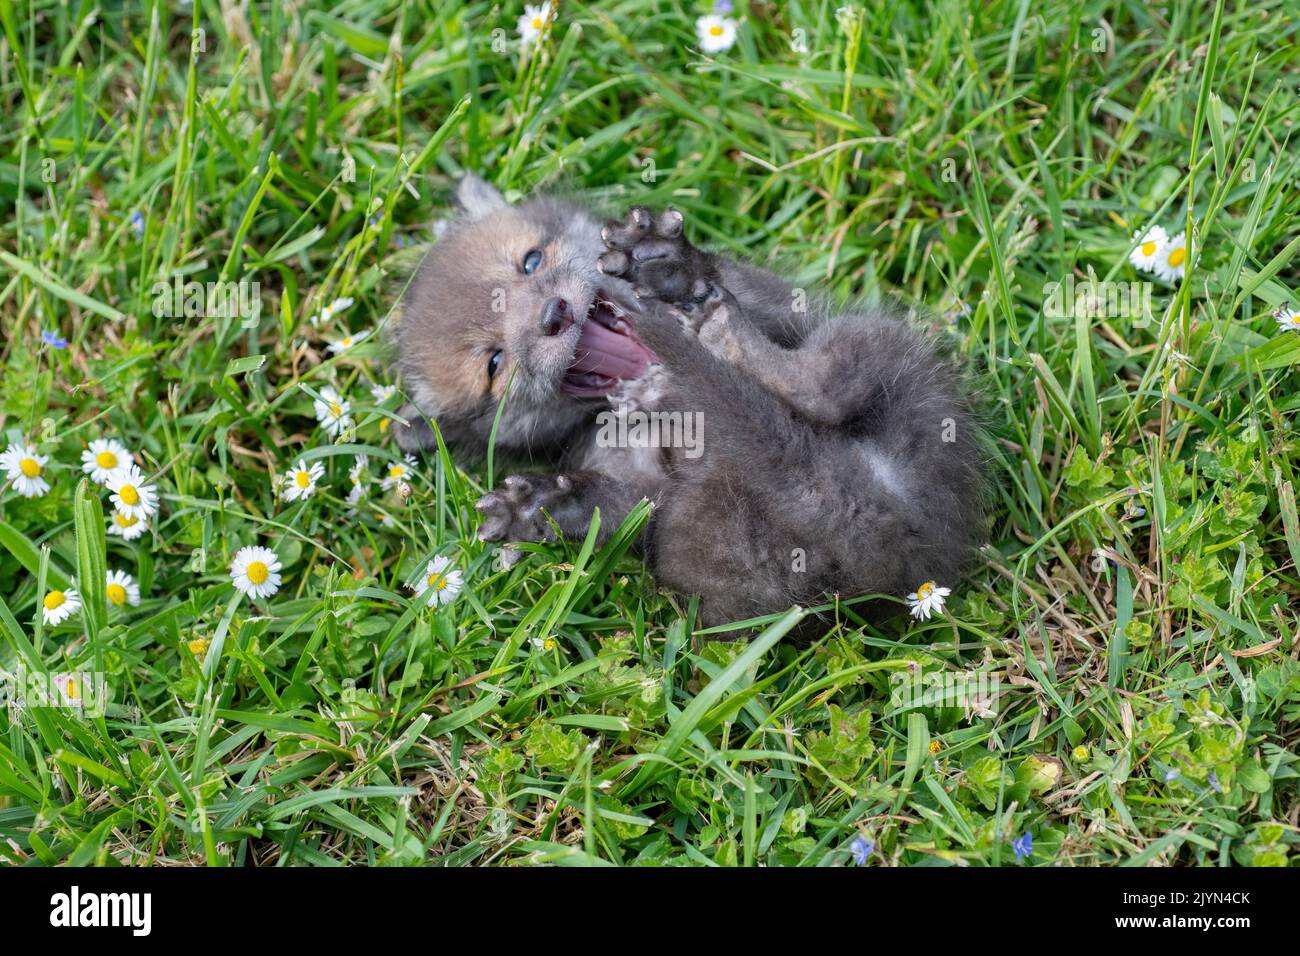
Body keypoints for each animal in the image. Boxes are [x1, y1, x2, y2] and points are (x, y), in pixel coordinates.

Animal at [392, 175, 986, 628]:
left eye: (531, 261)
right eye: (494, 364)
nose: (553, 315)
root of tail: (871, 516)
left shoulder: (778, 304)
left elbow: (733, 283)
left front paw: (670, 266)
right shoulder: (639, 491)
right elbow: (608, 505)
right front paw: (535, 509)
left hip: (888, 351)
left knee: (824, 380)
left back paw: (708, 328)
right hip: (694, 541)